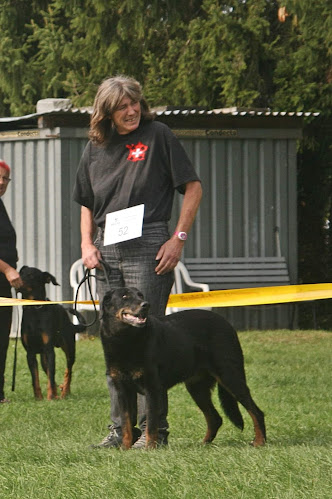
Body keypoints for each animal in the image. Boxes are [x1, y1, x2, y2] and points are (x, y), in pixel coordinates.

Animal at [18, 266, 85, 402]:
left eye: (31, 275)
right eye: (20, 273)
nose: (17, 281)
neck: (34, 310)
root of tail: (70, 323)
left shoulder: (49, 351)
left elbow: (51, 377)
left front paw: (50, 398)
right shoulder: (30, 353)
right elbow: (36, 379)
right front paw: (39, 398)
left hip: (69, 348)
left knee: (68, 370)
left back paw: (64, 392)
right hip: (44, 358)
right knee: (50, 373)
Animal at [100, 288, 266, 452]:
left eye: (140, 295)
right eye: (125, 296)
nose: (145, 305)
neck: (125, 339)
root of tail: (226, 323)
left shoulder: (152, 388)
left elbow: (152, 424)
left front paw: (150, 449)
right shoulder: (122, 390)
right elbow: (126, 423)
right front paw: (125, 449)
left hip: (230, 375)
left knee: (256, 412)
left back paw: (259, 442)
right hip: (197, 387)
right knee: (215, 418)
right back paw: (203, 445)